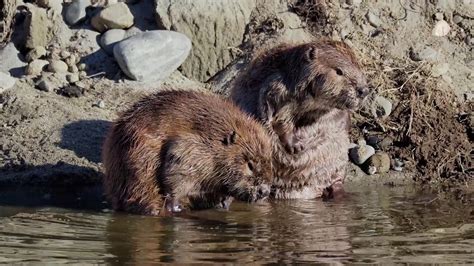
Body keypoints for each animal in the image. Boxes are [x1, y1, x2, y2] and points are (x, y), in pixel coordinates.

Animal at [103, 90, 274, 216]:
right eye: (250, 165)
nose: (264, 192)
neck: (216, 135)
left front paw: (224, 202)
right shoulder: (191, 147)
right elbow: (176, 169)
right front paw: (174, 205)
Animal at [230, 39, 370, 200]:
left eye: (358, 67)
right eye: (339, 71)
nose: (364, 90)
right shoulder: (277, 86)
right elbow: (275, 115)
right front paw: (296, 146)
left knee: (335, 178)